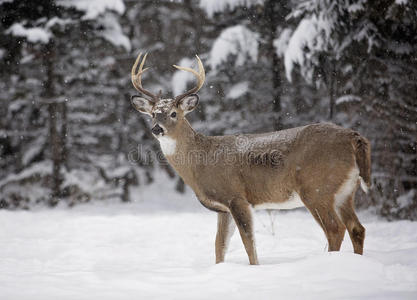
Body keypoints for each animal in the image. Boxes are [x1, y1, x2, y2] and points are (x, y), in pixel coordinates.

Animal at [130, 52, 370, 264]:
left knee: (335, 229)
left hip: (317, 189)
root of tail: (353, 137)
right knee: (357, 228)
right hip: (345, 190)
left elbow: (249, 243)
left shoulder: (236, 196)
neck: (201, 161)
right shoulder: (223, 208)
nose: (157, 129)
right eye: (153, 114)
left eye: (174, 114)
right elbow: (219, 245)